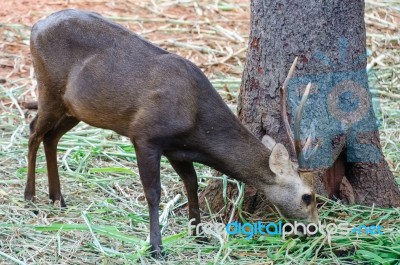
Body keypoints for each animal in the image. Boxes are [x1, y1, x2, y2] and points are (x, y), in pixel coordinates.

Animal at [25, 9, 318, 256]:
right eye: (308, 196)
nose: (314, 228)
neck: (196, 123)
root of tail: (36, 26)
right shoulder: (145, 136)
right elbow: (154, 192)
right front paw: (156, 247)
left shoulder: (177, 150)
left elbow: (191, 183)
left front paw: (198, 234)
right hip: (49, 88)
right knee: (33, 132)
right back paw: (30, 196)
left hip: (74, 109)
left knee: (51, 137)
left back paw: (57, 197)